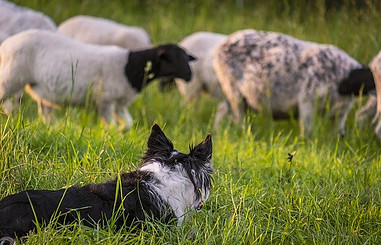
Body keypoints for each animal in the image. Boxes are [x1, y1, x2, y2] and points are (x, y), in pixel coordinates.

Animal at [0, 29, 196, 127]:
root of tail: (7, 43)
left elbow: (128, 123)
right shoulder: (105, 101)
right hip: (10, 77)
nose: (189, 76)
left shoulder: (119, 103)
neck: (130, 68)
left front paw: (122, 132)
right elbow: (109, 125)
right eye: (172, 59)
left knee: (46, 114)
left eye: (186, 58)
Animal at [214, 29, 374, 137]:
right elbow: (307, 132)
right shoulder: (308, 101)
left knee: (222, 110)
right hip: (233, 91)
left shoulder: (341, 113)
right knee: (238, 118)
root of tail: (222, 44)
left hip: (230, 93)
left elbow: (339, 133)